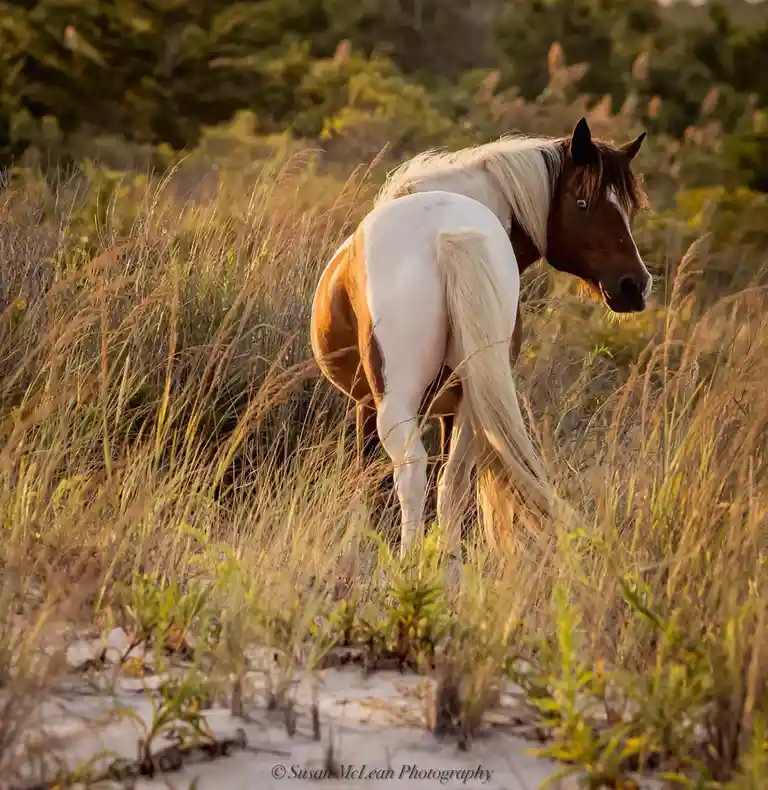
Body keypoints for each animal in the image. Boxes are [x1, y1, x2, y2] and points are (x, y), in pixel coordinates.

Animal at [309, 117, 651, 573]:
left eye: (629, 208)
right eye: (582, 203)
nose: (635, 286)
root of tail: (448, 235)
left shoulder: (369, 403)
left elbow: (365, 478)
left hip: (398, 403)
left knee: (415, 473)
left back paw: (409, 562)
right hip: (469, 404)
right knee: (451, 481)